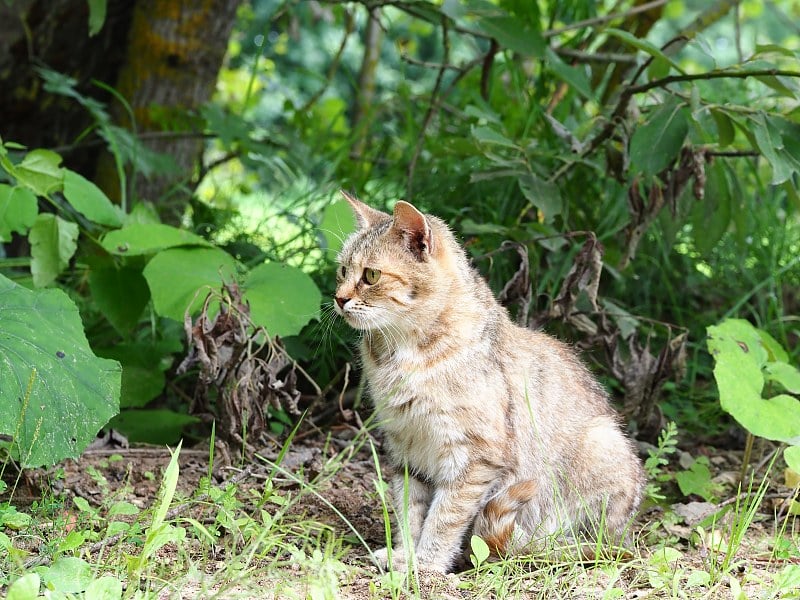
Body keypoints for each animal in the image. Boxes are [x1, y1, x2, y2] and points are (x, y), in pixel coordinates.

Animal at [332, 191, 644, 572]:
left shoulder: (473, 455)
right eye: (342, 270)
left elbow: (444, 518)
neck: (400, 354)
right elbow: (410, 510)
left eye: (371, 275)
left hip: (602, 447)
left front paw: (426, 565)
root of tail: (627, 537)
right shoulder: (406, 447)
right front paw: (405, 554)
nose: (339, 298)